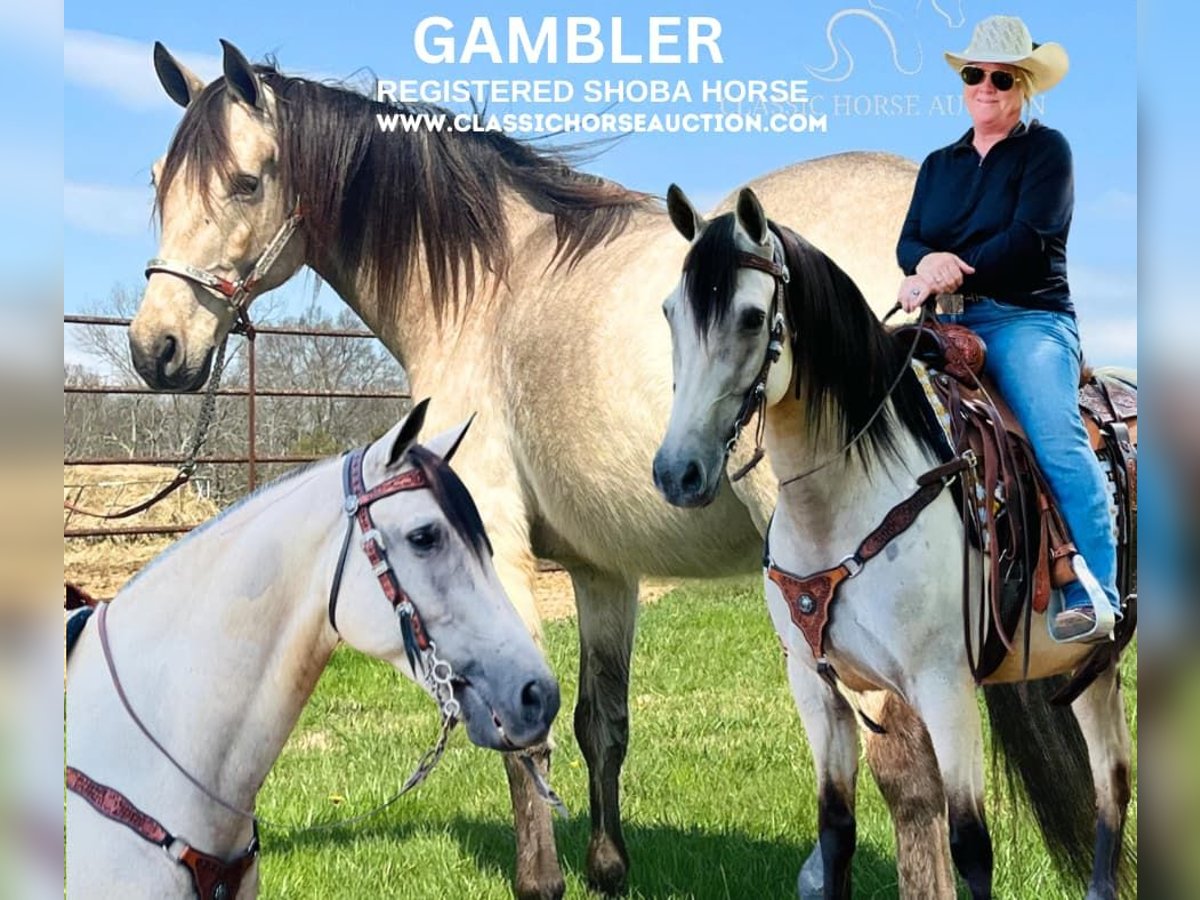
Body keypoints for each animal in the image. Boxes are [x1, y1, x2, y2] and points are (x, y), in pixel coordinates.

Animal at [129, 38, 993, 897]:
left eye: (245, 182)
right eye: (157, 181)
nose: (155, 348)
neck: (487, 289)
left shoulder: (496, 546)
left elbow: (523, 728)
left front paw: (539, 881)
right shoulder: (602, 570)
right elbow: (600, 723)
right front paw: (607, 867)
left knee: (908, 771)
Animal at [657, 184, 1132, 900]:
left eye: (750, 317)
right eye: (670, 314)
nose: (676, 473)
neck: (842, 506)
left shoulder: (943, 687)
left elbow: (970, 846)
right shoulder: (817, 690)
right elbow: (836, 834)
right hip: (1093, 668)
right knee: (1112, 786)